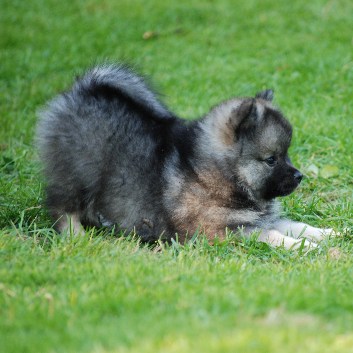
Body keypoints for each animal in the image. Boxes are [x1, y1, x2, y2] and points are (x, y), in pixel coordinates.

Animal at [37, 64, 334, 249]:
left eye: (287, 154)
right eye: (271, 159)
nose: (299, 176)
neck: (219, 177)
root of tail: (84, 89)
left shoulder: (259, 219)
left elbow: (295, 225)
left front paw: (327, 233)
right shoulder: (223, 230)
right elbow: (272, 235)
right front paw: (302, 247)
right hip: (79, 173)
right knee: (61, 207)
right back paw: (76, 236)